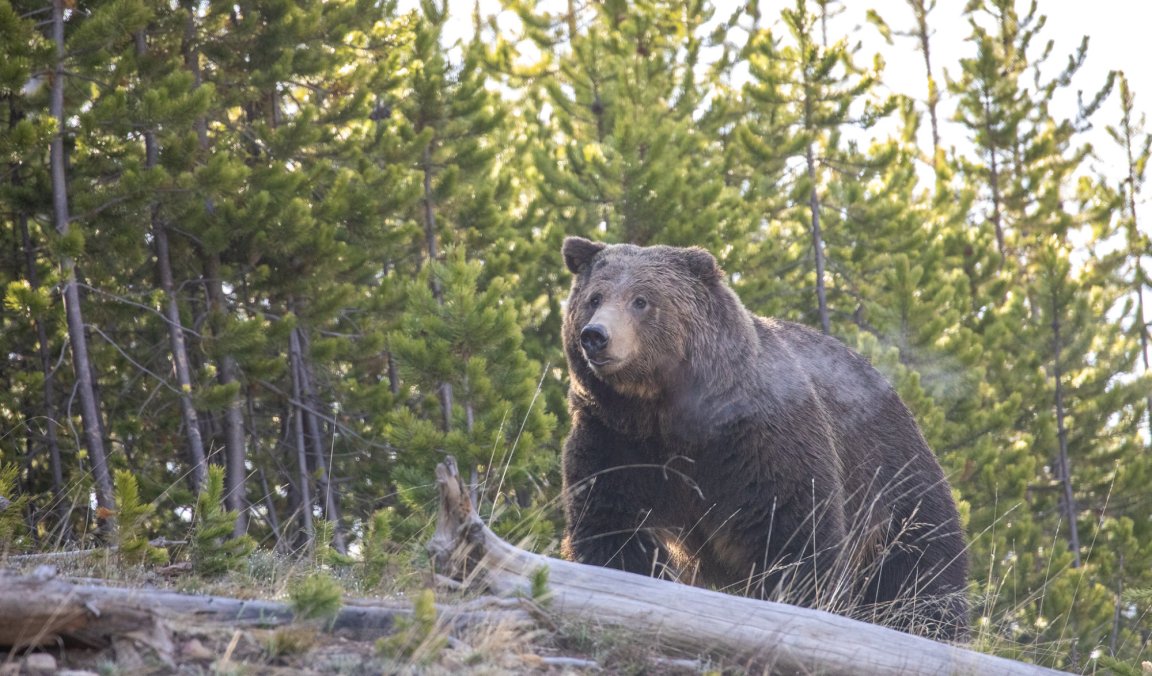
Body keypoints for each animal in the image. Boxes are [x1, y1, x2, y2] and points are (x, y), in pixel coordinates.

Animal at [559, 236, 969, 641]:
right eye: (594, 297)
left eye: (641, 300)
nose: (596, 335)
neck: (664, 412)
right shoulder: (616, 438)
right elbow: (612, 522)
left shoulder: (757, 439)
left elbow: (792, 529)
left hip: (893, 474)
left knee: (922, 564)